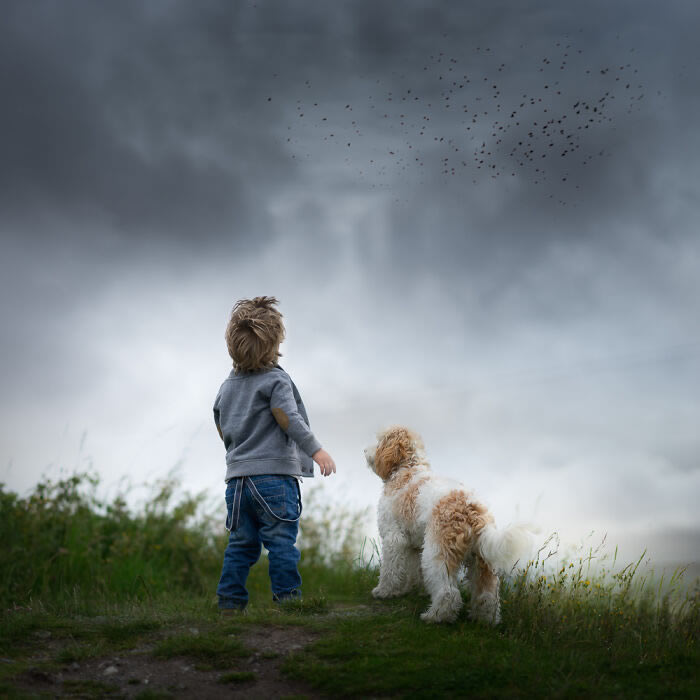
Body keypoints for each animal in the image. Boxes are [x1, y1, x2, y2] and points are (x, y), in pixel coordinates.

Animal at [366, 424, 532, 628]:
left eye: (379, 441)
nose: (364, 450)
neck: (408, 469)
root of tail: (472, 510)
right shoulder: (414, 546)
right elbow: (413, 572)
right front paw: (410, 590)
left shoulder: (393, 539)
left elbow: (390, 569)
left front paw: (384, 591)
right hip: (482, 561)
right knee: (488, 595)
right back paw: (484, 620)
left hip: (437, 553)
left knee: (449, 593)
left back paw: (435, 616)